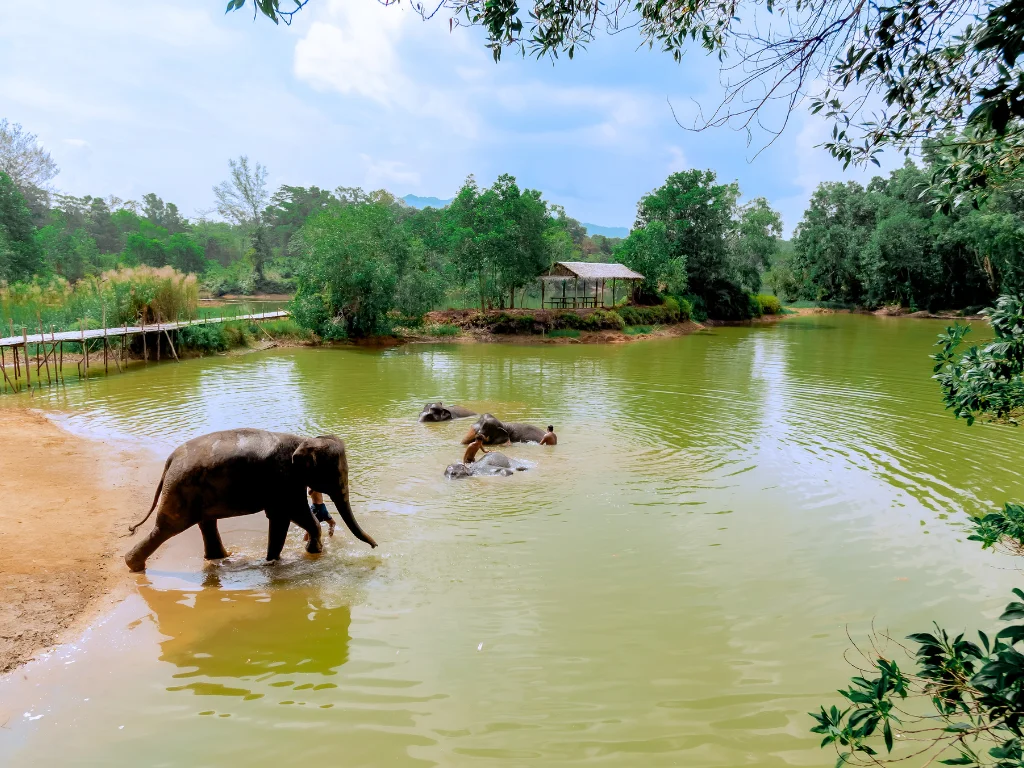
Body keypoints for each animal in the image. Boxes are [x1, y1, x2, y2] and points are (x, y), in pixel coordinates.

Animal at [123, 430, 378, 573]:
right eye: (337, 474)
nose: (376, 547)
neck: (305, 440)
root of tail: (170, 460)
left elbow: (281, 517)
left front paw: (273, 560)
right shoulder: (284, 478)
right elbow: (292, 513)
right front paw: (312, 552)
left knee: (206, 522)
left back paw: (221, 559)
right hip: (181, 489)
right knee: (168, 527)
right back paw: (133, 566)